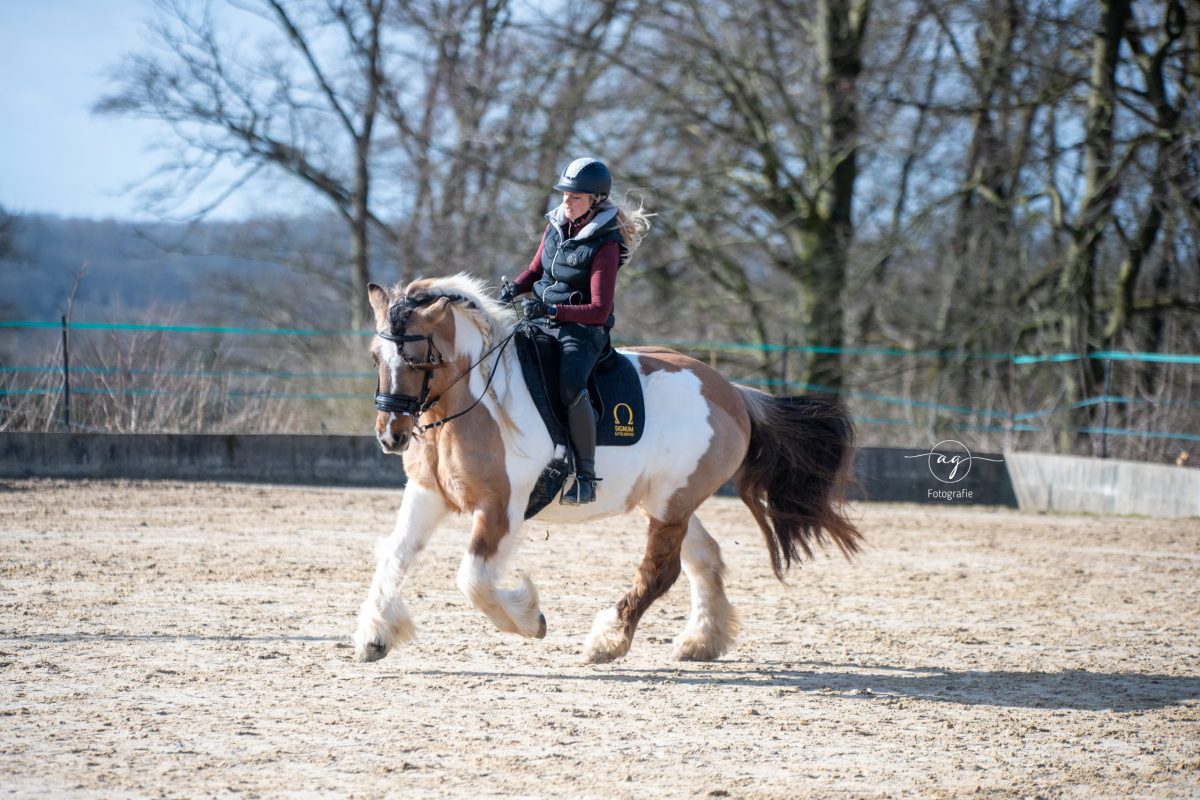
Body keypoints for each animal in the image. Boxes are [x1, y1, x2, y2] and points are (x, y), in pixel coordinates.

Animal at [353, 274, 861, 664]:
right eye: (376, 358)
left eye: (417, 358)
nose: (391, 436)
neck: (479, 401)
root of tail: (733, 393)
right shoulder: (428, 494)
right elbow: (395, 555)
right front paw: (376, 636)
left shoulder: (501, 508)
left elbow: (473, 579)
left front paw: (529, 619)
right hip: (669, 504)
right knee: (704, 558)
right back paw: (701, 641)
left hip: (670, 505)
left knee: (660, 572)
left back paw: (608, 641)